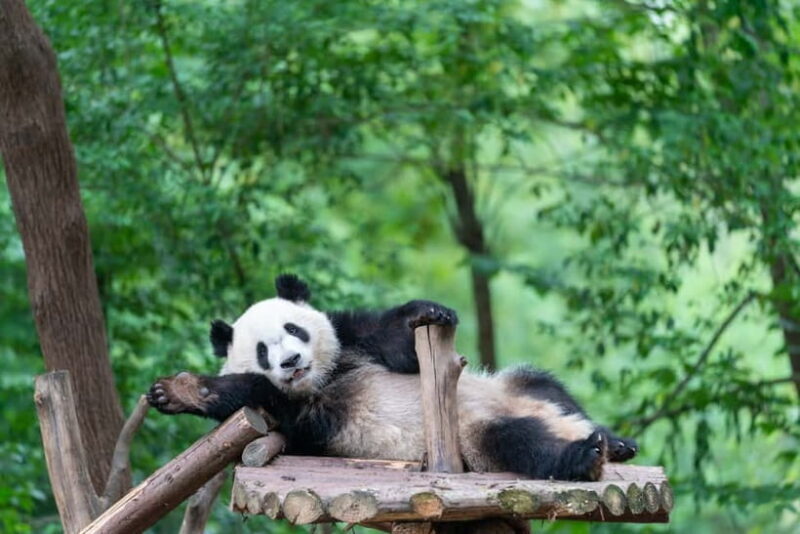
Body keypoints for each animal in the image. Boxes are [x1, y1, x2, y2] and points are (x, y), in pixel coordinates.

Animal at [147, 274, 637, 481]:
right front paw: (175, 391)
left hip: (514, 386)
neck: (324, 377)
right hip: (474, 438)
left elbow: (397, 344)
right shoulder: (304, 416)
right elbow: (255, 392)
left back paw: (613, 442)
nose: (291, 362)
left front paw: (429, 312)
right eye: (263, 351)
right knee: (519, 443)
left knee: (548, 387)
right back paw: (584, 455)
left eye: (294, 329)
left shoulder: (351, 339)